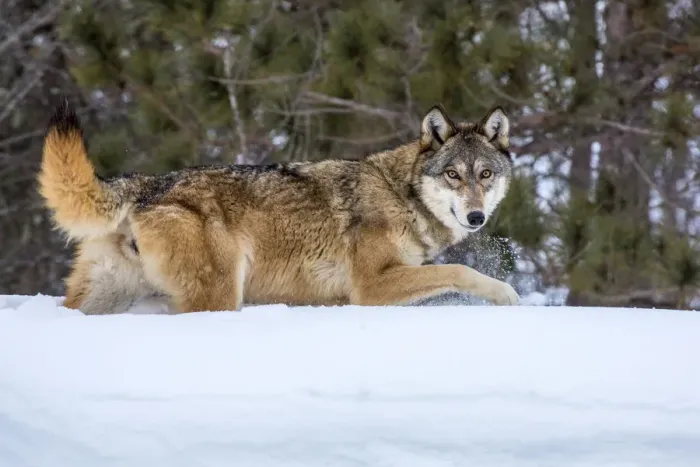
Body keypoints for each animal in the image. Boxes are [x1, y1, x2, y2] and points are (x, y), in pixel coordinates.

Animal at [38, 101, 520, 314]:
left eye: (485, 175)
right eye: (453, 175)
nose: (476, 216)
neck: (401, 195)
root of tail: (147, 184)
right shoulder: (370, 288)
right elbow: (459, 270)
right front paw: (507, 295)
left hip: (102, 295)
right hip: (220, 294)